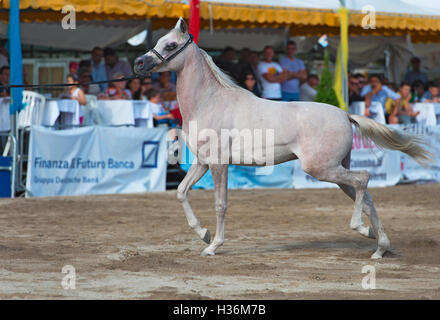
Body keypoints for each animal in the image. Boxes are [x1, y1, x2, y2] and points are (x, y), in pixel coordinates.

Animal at [133, 17, 430, 258]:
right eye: (158, 41)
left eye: (171, 45)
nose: (138, 64)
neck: (209, 102)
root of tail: (346, 115)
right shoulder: (202, 162)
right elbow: (181, 192)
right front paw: (203, 234)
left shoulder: (218, 164)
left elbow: (220, 204)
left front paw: (213, 245)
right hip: (335, 170)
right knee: (365, 195)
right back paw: (379, 246)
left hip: (322, 169)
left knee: (363, 180)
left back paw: (362, 230)